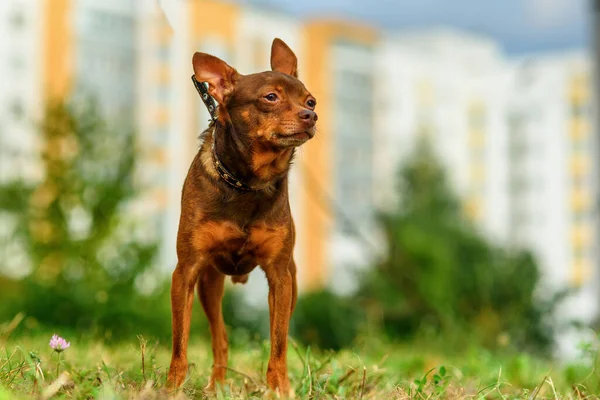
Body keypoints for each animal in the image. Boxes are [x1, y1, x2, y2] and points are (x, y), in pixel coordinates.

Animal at [166, 39, 316, 396]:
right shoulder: (186, 272)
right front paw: (171, 388)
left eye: (310, 100)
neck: (247, 184)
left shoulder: (280, 276)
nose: (311, 115)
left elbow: (278, 343)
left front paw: (280, 389)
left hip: (290, 283)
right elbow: (180, 343)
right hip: (209, 283)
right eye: (270, 97)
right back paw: (217, 385)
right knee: (220, 338)